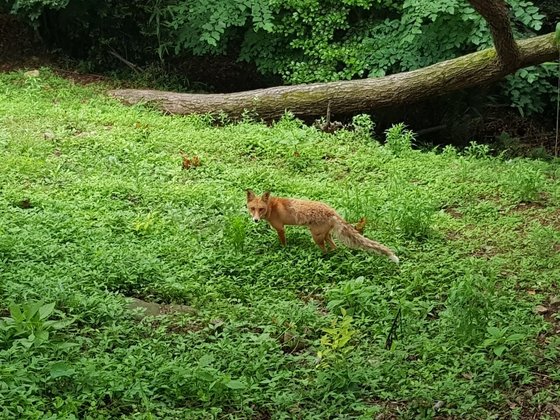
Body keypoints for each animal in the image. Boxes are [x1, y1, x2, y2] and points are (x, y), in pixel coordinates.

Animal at [245, 190, 398, 262]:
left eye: (261, 209)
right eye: (252, 208)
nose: (255, 220)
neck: (272, 207)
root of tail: (332, 211)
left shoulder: (280, 228)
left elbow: (283, 243)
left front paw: (283, 250)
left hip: (316, 237)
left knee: (325, 250)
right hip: (326, 235)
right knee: (334, 248)